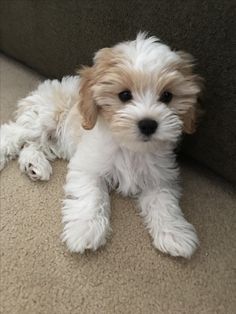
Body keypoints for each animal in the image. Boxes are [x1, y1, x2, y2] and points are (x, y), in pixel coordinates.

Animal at [0, 32, 202, 258]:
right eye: (124, 95)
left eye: (167, 96)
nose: (148, 124)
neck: (130, 147)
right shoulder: (89, 166)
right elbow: (91, 196)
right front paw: (85, 229)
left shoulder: (158, 177)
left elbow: (164, 202)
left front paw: (174, 233)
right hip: (44, 119)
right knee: (13, 134)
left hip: (54, 140)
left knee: (32, 146)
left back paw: (34, 166)